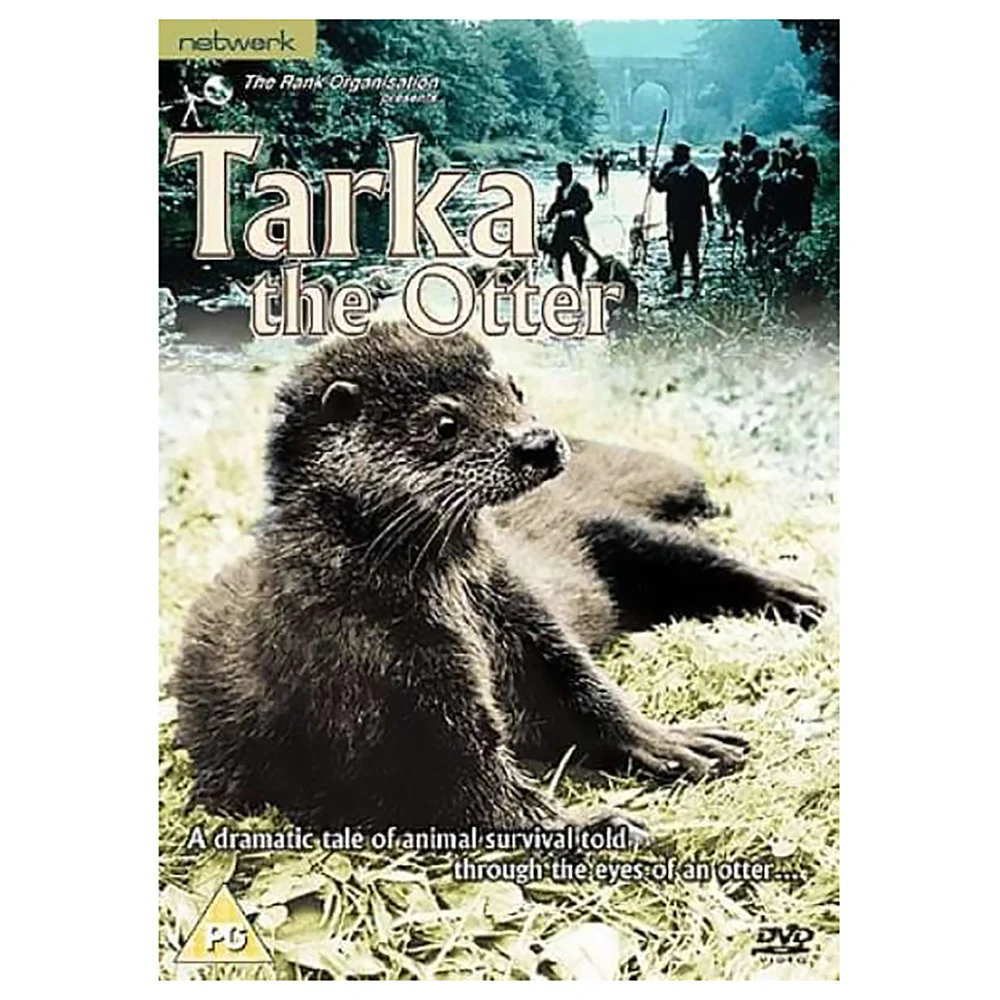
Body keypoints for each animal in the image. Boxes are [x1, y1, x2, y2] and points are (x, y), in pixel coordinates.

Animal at [173, 323, 824, 834]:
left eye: (514, 389)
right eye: (444, 422)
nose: (537, 441)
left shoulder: (515, 605)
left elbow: (581, 690)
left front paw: (674, 742)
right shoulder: (391, 682)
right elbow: (468, 787)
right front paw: (598, 825)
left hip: (614, 530)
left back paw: (796, 594)